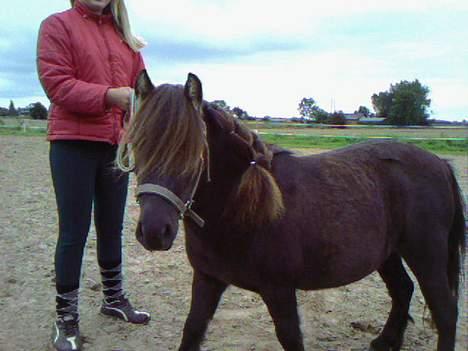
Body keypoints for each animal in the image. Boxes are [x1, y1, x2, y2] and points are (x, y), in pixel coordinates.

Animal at [120, 72, 464, 351]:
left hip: (426, 255)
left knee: (445, 312)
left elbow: (290, 338)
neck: (241, 209)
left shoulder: (279, 290)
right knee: (403, 291)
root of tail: (440, 164)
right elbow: (192, 330)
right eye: (139, 145)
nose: (154, 232)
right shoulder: (208, 279)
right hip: (388, 253)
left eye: (193, 152)